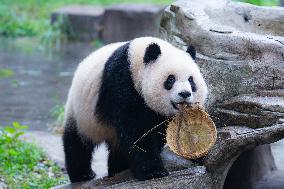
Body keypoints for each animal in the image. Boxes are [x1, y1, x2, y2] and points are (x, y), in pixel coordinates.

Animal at [62, 36, 209, 182]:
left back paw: (117, 169)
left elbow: (156, 131)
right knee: (77, 142)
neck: (135, 63)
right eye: (171, 79)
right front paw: (153, 171)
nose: (185, 94)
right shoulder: (121, 84)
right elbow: (136, 131)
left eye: (191, 80)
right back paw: (83, 174)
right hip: (82, 112)